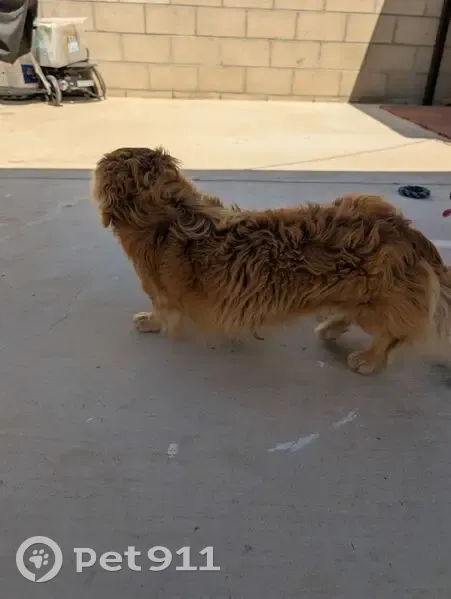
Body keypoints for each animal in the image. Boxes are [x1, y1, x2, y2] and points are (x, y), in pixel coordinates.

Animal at [92, 146, 451, 375]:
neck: (167, 213)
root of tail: (405, 230)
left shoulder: (162, 294)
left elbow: (161, 312)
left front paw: (149, 322)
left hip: (376, 304)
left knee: (390, 337)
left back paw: (368, 360)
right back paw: (329, 328)